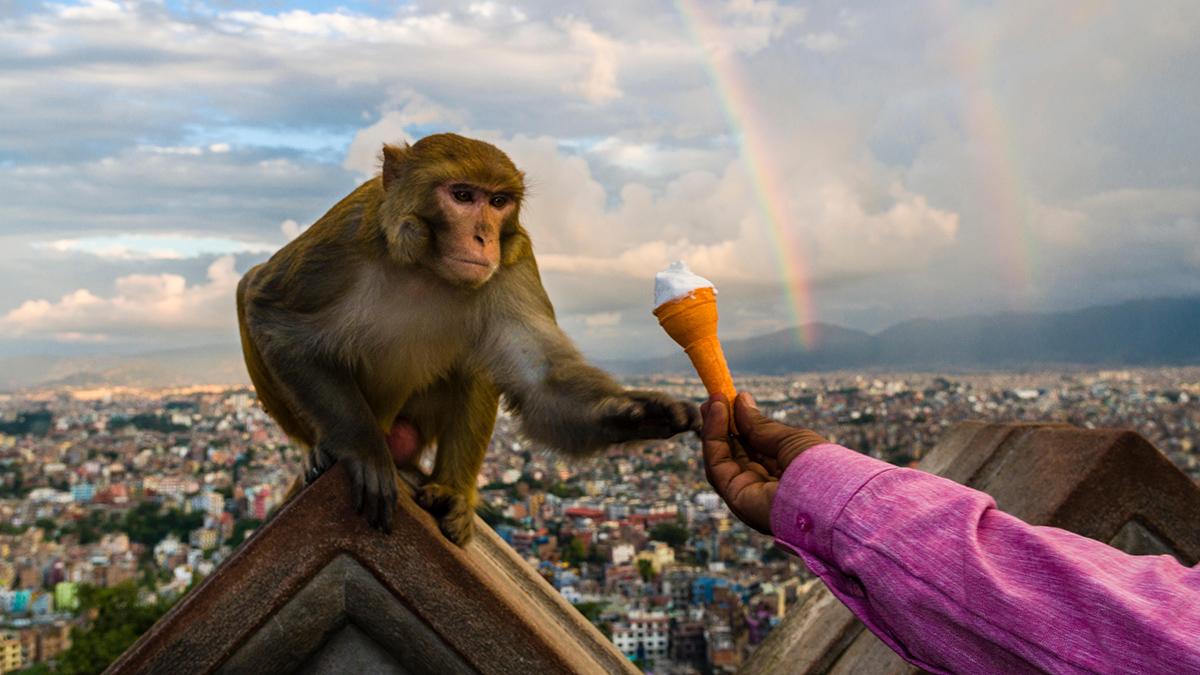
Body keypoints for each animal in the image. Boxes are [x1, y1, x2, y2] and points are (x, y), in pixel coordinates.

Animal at [237, 131, 700, 540]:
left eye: (497, 202)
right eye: (462, 196)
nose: (483, 237)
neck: (426, 267)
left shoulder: (515, 261)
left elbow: (541, 383)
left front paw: (637, 413)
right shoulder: (343, 238)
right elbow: (272, 315)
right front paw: (361, 447)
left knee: (477, 365)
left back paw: (452, 492)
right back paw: (322, 451)